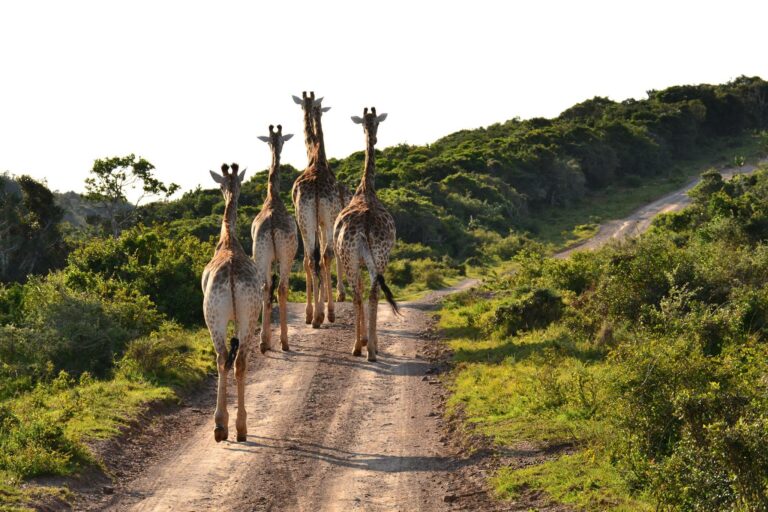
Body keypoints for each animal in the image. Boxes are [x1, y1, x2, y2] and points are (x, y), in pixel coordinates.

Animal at [332, 106, 400, 362]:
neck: (365, 189)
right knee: (370, 292)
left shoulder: (358, 260)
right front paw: (369, 341)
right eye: (369, 124)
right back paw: (369, 349)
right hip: (377, 257)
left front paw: (364, 341)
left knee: (361, 293)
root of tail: (366, 227)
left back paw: (360, 347)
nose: (376, 136)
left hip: (353, 258)